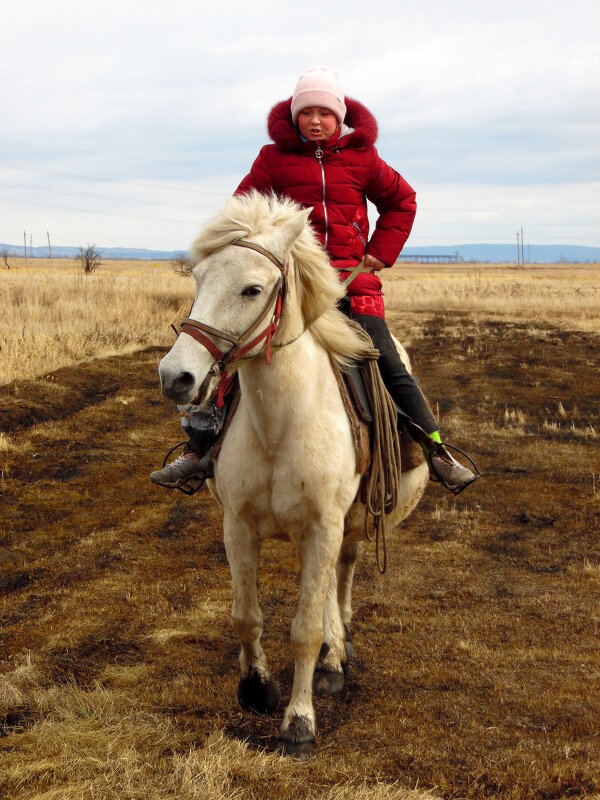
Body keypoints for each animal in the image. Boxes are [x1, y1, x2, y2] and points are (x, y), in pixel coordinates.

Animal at [159, 194, 428, 756]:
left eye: (252, 289)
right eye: (198, 279)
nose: (176, 377)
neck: (280, 426)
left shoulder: (324, 525)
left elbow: (304, 628)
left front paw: (299, 720)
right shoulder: (237, 524)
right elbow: (246, 615)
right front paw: (256, 687)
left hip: (348, 524)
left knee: (338, 580)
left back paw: (334, 657)